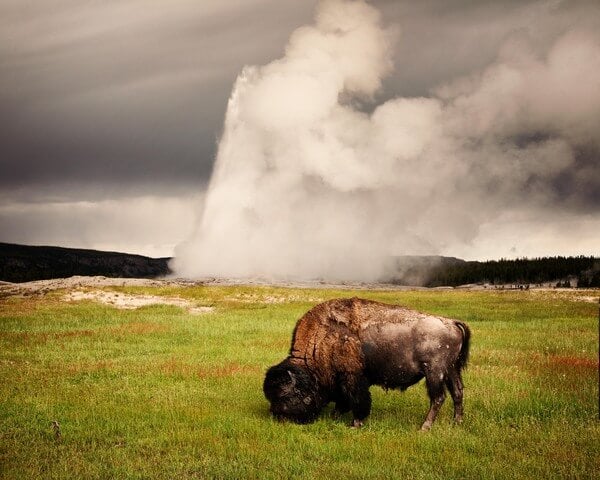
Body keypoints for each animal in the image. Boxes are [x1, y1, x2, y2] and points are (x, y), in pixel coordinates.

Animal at [264, 298, 472, 430]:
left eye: (283, 396)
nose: (276, 416)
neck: (322, 340)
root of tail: (451, 322)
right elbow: (342, 402)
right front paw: (335, 417)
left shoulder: (352, 378)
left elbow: (357, 400)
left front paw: (355, 424)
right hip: (451, 370)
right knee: (457, 393)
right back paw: (456, 423)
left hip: (434, 372)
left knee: (438, 398)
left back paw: (424, 427)